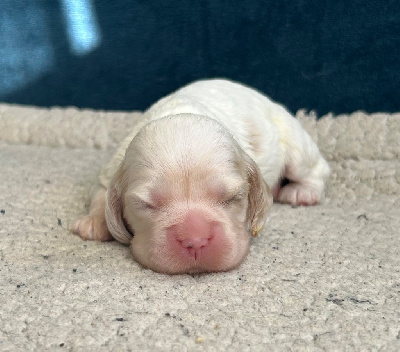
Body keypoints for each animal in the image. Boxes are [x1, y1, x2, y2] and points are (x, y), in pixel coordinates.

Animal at [73, 80, 330, 276]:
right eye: (146, 204)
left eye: (232, 197)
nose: (195, 241)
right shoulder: (111, 168)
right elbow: (102, 192)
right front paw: (94, 222)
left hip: (294, 143)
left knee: (317, 168)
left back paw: (302, 192)